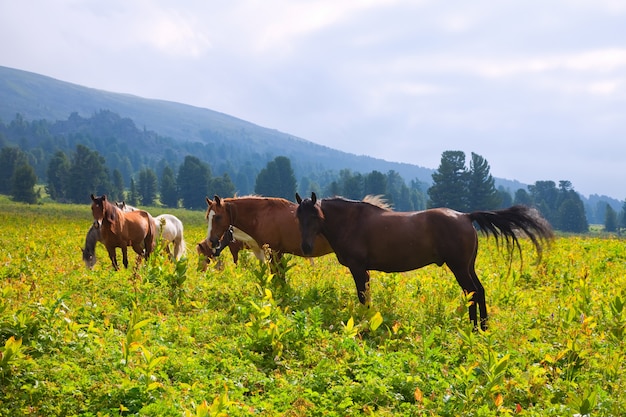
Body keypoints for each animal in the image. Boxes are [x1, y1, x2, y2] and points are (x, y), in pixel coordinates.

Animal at [292, 190, 552, 330]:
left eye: (315, 216)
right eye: (298, 216)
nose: (306, 247)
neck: (352, 222)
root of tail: (465, 216)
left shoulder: (359, 269)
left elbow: (363, 298)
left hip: (459, 268)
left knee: (472, 292)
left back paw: (474, 328)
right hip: (468, 266)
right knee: (480, 291)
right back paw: (483, 327)